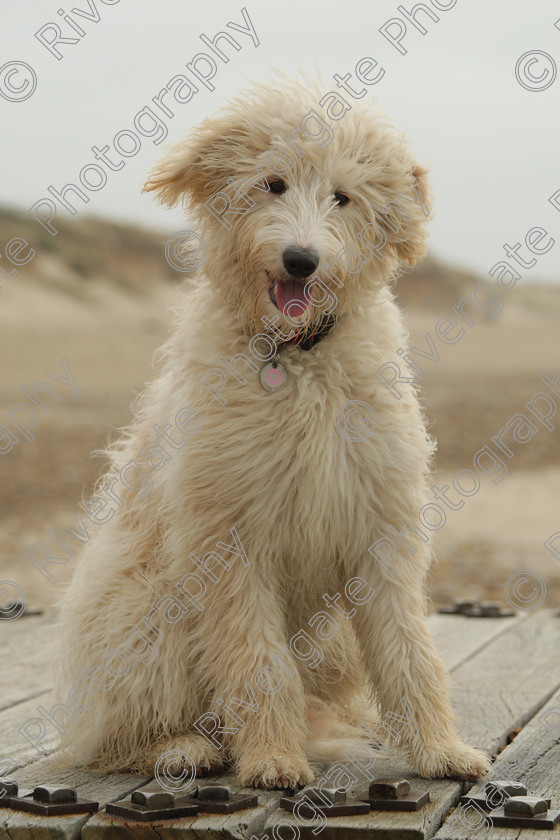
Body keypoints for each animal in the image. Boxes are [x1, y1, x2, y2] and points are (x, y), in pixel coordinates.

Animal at [53, 75, 490, 792]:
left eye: (343, 196)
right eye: (273, 183)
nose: (301, 260)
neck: (294, 356)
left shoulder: (381, 525)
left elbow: (410, 651)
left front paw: (441, 749)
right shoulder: (229, 541)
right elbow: (257, 661)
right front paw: (273, 759)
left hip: (331, 643)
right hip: (146, 611)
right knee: (117, 737)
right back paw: (185, 748)